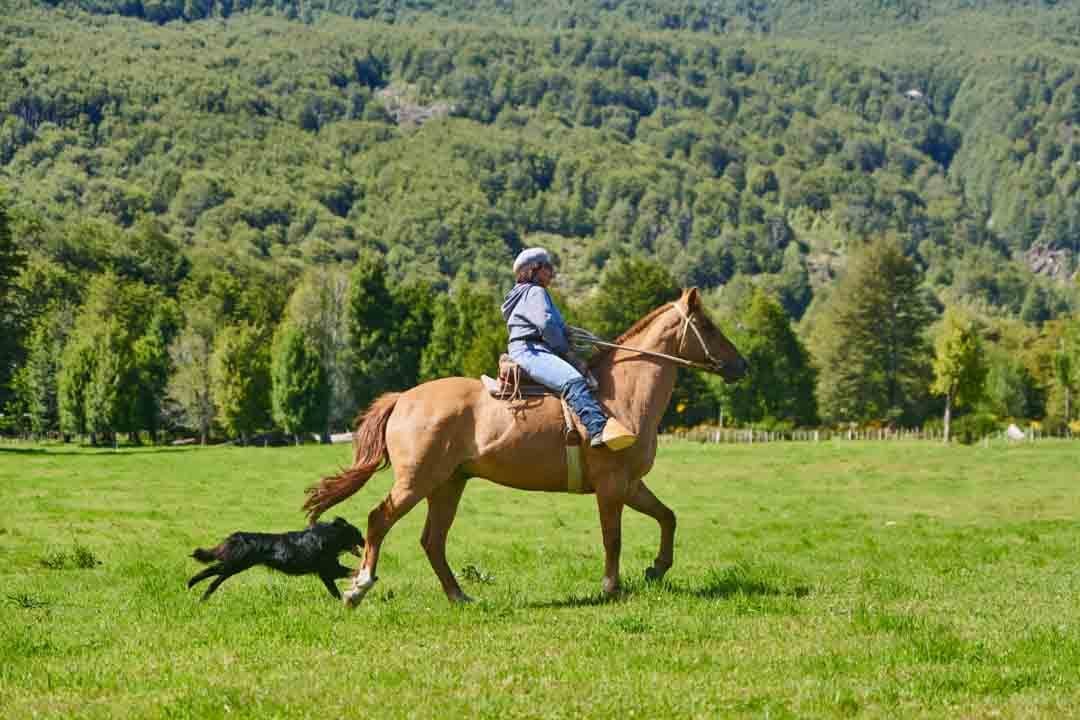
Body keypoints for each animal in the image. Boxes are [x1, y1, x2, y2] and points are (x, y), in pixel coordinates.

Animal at [303, 288, 748, 606]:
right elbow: (613, 537)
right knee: (379, 520)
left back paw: (459, 596)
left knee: (433, 540)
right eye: (708, 326)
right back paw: (359, 588)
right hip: (416, 482)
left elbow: (667, 517)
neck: (623, 396)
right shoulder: (610, 487)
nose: (741, 365)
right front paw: (611, 587)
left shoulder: (630, 484)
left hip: (448, 484)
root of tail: (403, 398)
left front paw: (657, 569)